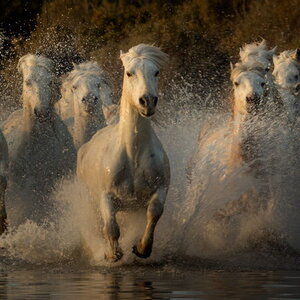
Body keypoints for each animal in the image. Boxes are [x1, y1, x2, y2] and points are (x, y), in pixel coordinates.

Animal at [77, 43, 171, 262]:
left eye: (156, 72)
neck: (133, 155)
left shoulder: (160, 188)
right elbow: (111, 227)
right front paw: (112, 254)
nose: (147, 101)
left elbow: (155, 212)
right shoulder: (106, 196)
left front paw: (141, 248)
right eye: (129, 73)